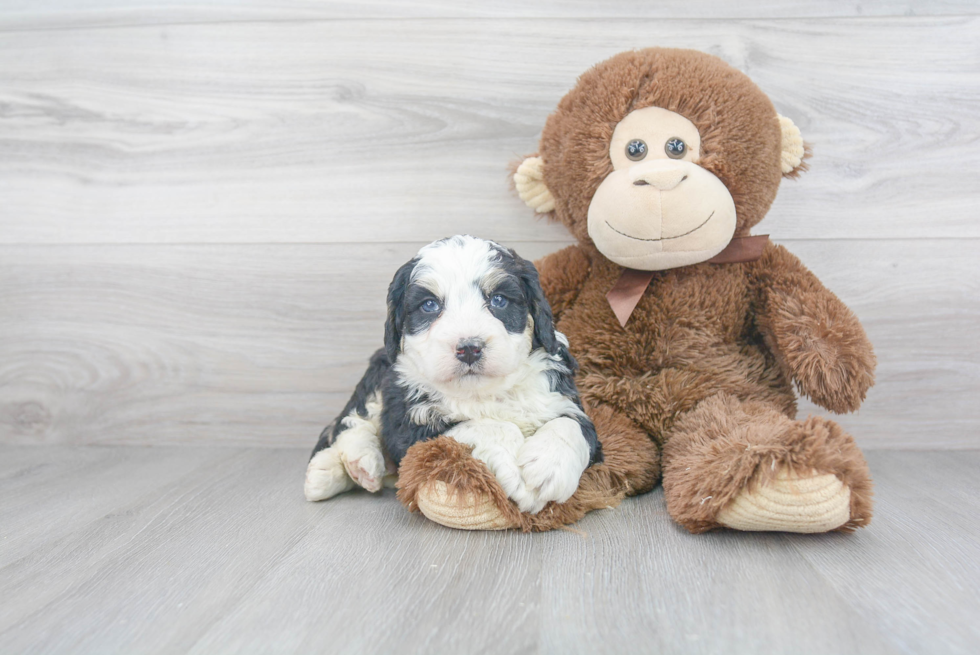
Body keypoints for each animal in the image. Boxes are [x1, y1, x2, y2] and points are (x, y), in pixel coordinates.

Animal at [306, 233, 600, 516]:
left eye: (499, 300)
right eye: (429, 305)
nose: (469, 348)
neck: (483, 392)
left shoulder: (563, 398)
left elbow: (572, 425)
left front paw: (549, 467)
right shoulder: (410, 426)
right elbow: (485, 426)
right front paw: (514, 473)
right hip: (379, 372)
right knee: (350, 421)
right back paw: (345, 466)